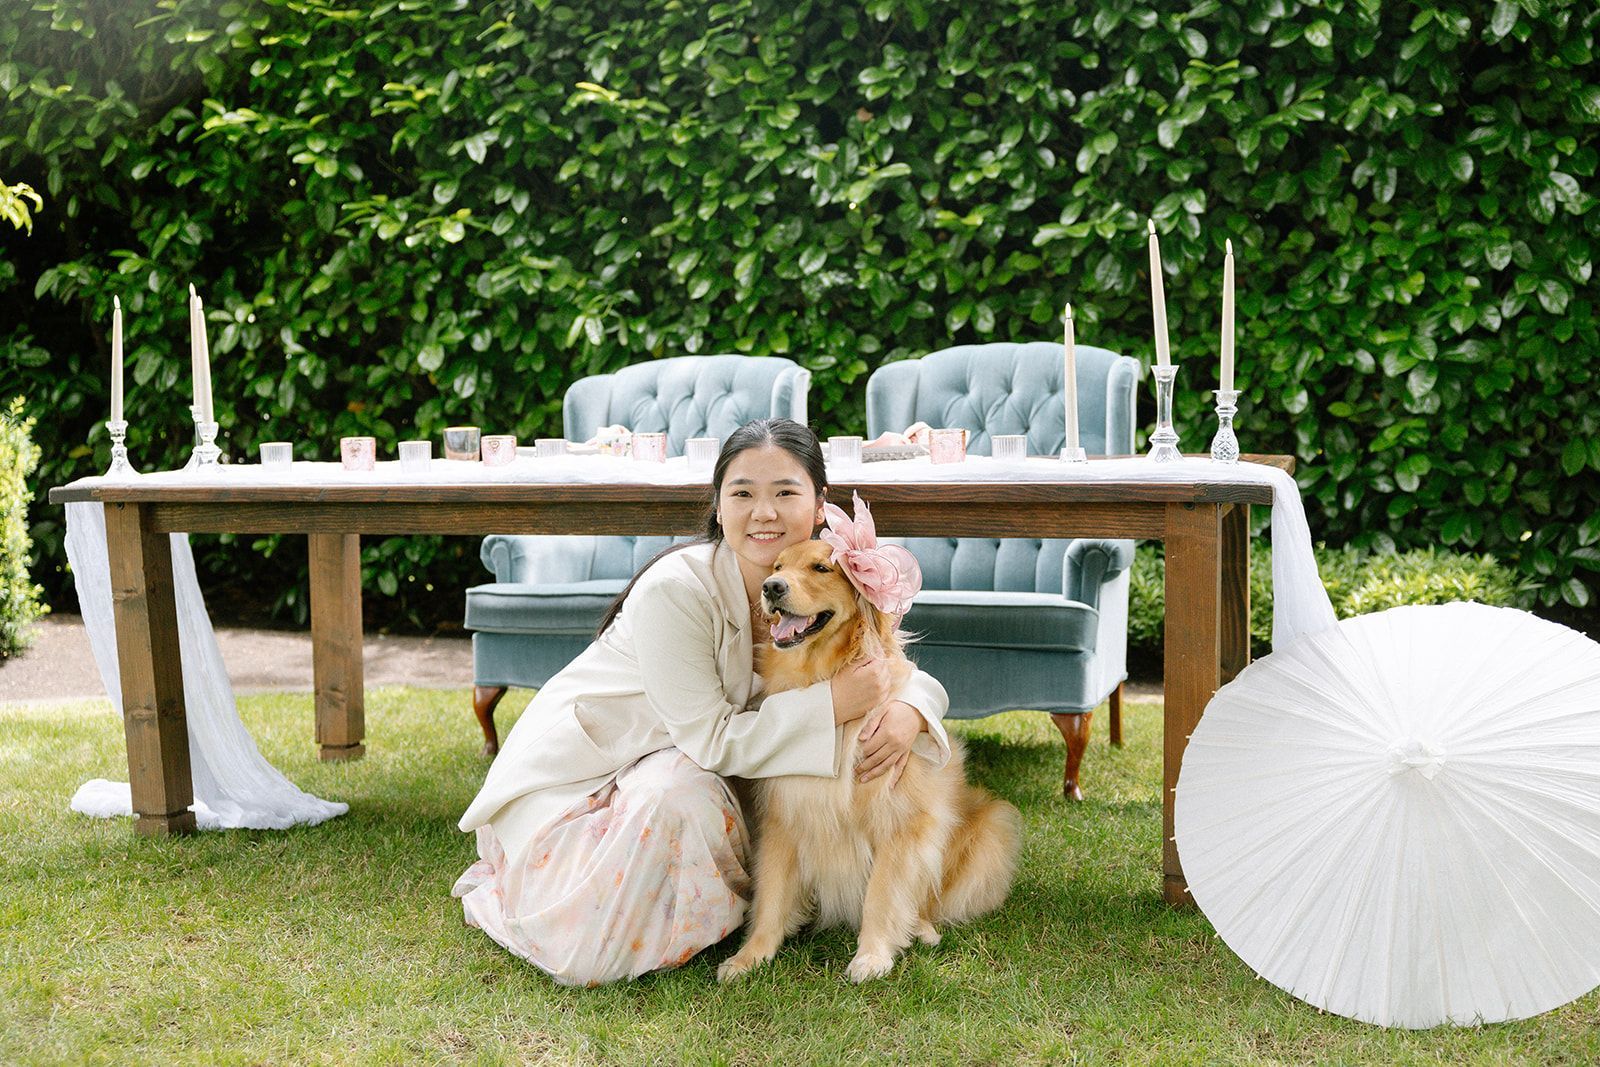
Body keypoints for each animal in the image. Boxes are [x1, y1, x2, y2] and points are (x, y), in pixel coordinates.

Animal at [717, 537, 1022, 983]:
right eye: (777, 566)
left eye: (821, 568)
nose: (771, 588)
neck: (826, 681)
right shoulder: (783, 820)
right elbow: (771, 897)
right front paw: (750, 956)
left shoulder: (900, 822)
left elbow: (883, 894)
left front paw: (873, 955)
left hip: (991, 827)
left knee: (928, 899)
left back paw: (923, 928)